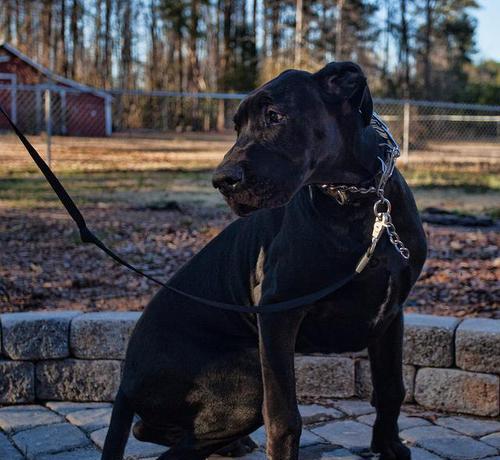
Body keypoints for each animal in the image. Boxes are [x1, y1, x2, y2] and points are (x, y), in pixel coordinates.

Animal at [101, 62, 426, 460]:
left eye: (275, 116)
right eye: (238, 126)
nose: (222, 180)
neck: (357, 200)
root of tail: (125, 380)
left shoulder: (391, 313)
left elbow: (391, 388)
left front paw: (389, 446)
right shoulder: (277, 312)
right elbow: (284, 417)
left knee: (148, 428)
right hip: (247, 378)